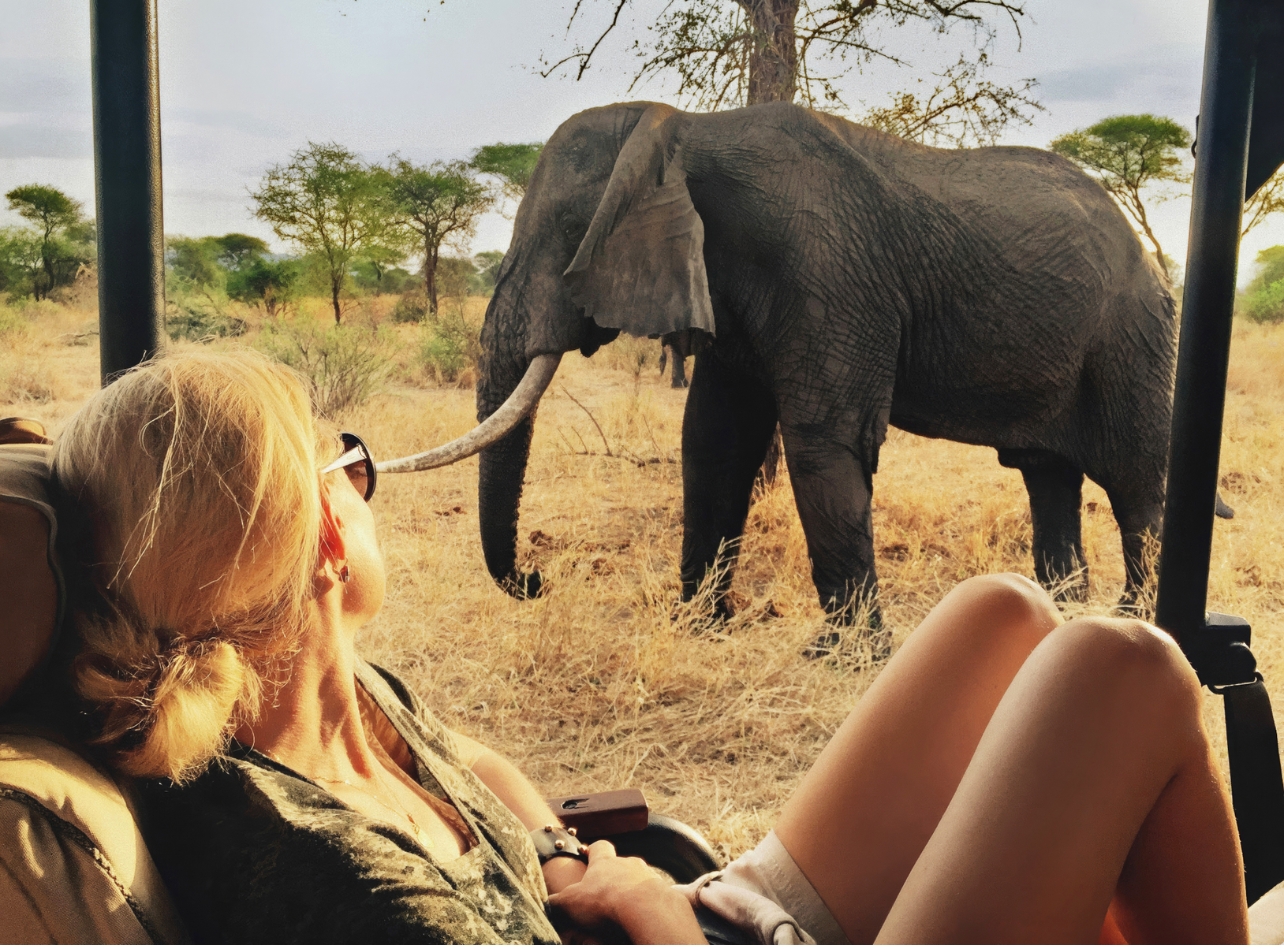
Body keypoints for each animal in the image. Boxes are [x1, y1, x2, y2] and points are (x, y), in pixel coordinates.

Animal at [380, 100, 1181, 641]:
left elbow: (823, 440)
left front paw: (844, 658)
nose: (539, 579)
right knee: (1048, 476)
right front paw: (699, 628)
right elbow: (714, 442)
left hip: (1134, 337)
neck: (684, 131)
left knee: (1137, 484)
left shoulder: (824, 267)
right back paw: (1063, 616)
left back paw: (1129, 622)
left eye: (570, 235)